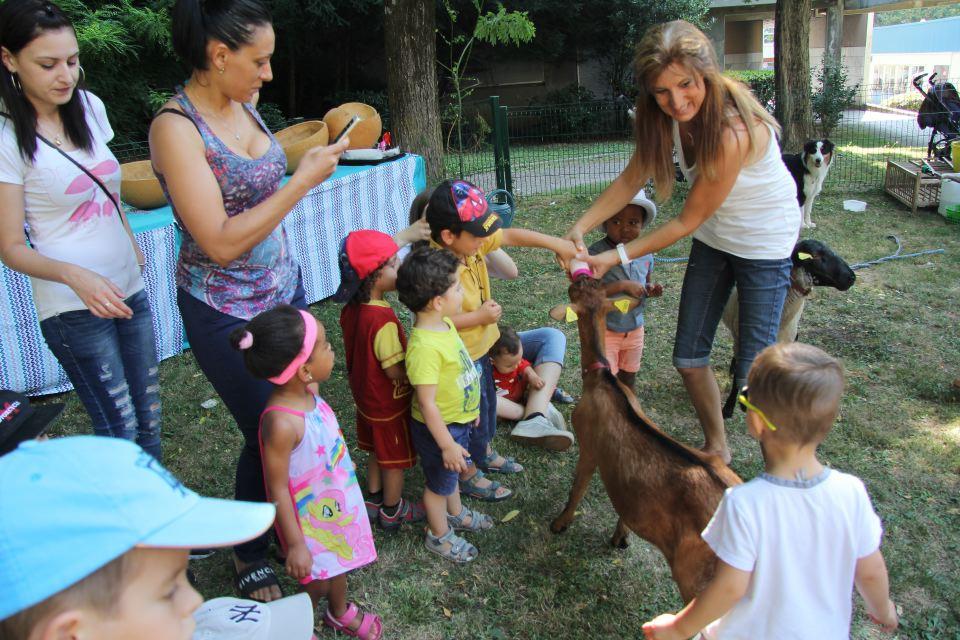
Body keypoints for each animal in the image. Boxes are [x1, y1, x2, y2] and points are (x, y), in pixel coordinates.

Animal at [548, 278, 744, 604]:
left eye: (575, 289)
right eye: (587, 286)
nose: (579, 277)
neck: (602, 378)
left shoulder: (589, 446)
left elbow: (577, 489)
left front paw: (559, 524)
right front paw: (620, 537)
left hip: (698, 579)